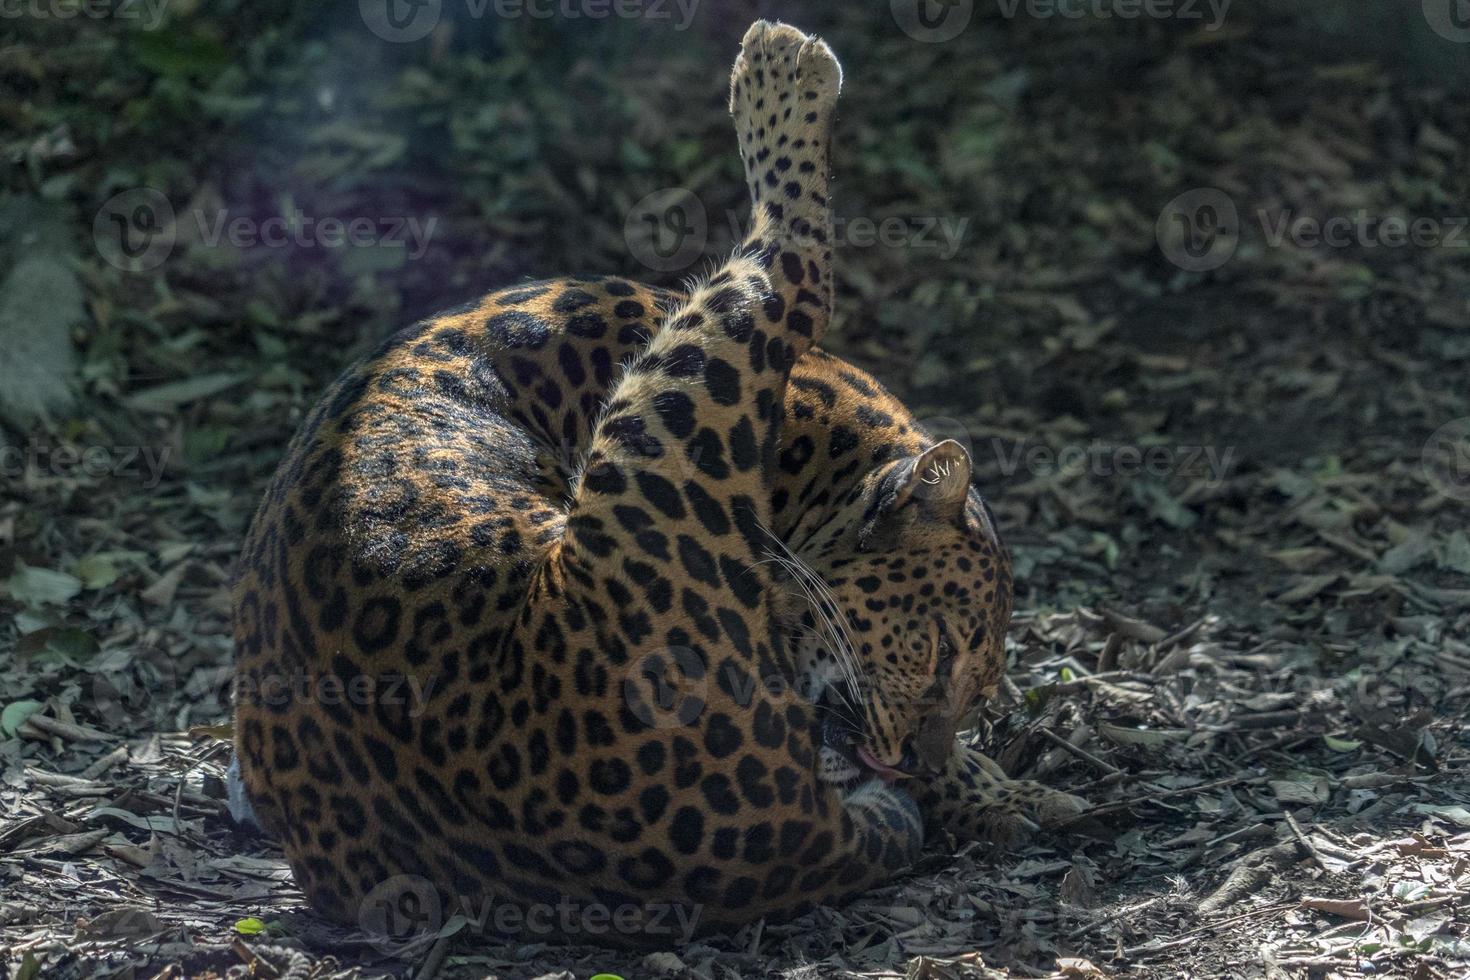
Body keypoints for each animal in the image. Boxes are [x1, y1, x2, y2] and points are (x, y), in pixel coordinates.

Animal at [226, 21, 1081, 940]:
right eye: (938, 649)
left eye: (979, 685)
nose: (916, 758)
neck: (810, 445)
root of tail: (782, 839)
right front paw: (997, 790)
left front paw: (1001, 790)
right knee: (787, 282)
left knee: (789, 277)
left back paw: (783, 72)